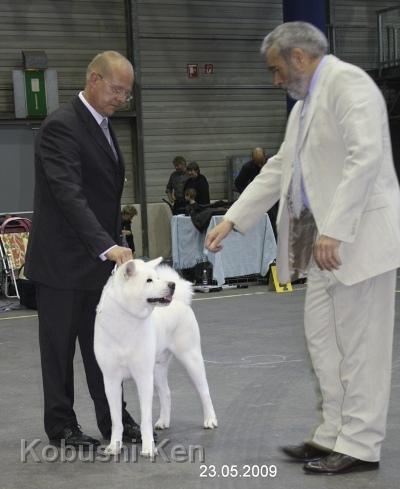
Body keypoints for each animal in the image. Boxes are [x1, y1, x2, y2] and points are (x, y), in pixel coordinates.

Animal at [93, 258, 217, 456]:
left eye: (157, 278)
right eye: (149, 280)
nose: (172, 285)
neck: (125, 322)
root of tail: (180, 300)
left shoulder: (143, 377)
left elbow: (145, 419)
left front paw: (148, 447)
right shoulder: (111, 380)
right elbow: (116, 420)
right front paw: (114, 446)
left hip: (191, 359)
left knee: (204, 391)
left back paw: (210, 420)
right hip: (157, 369)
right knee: (166, 393)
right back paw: (163, 422)